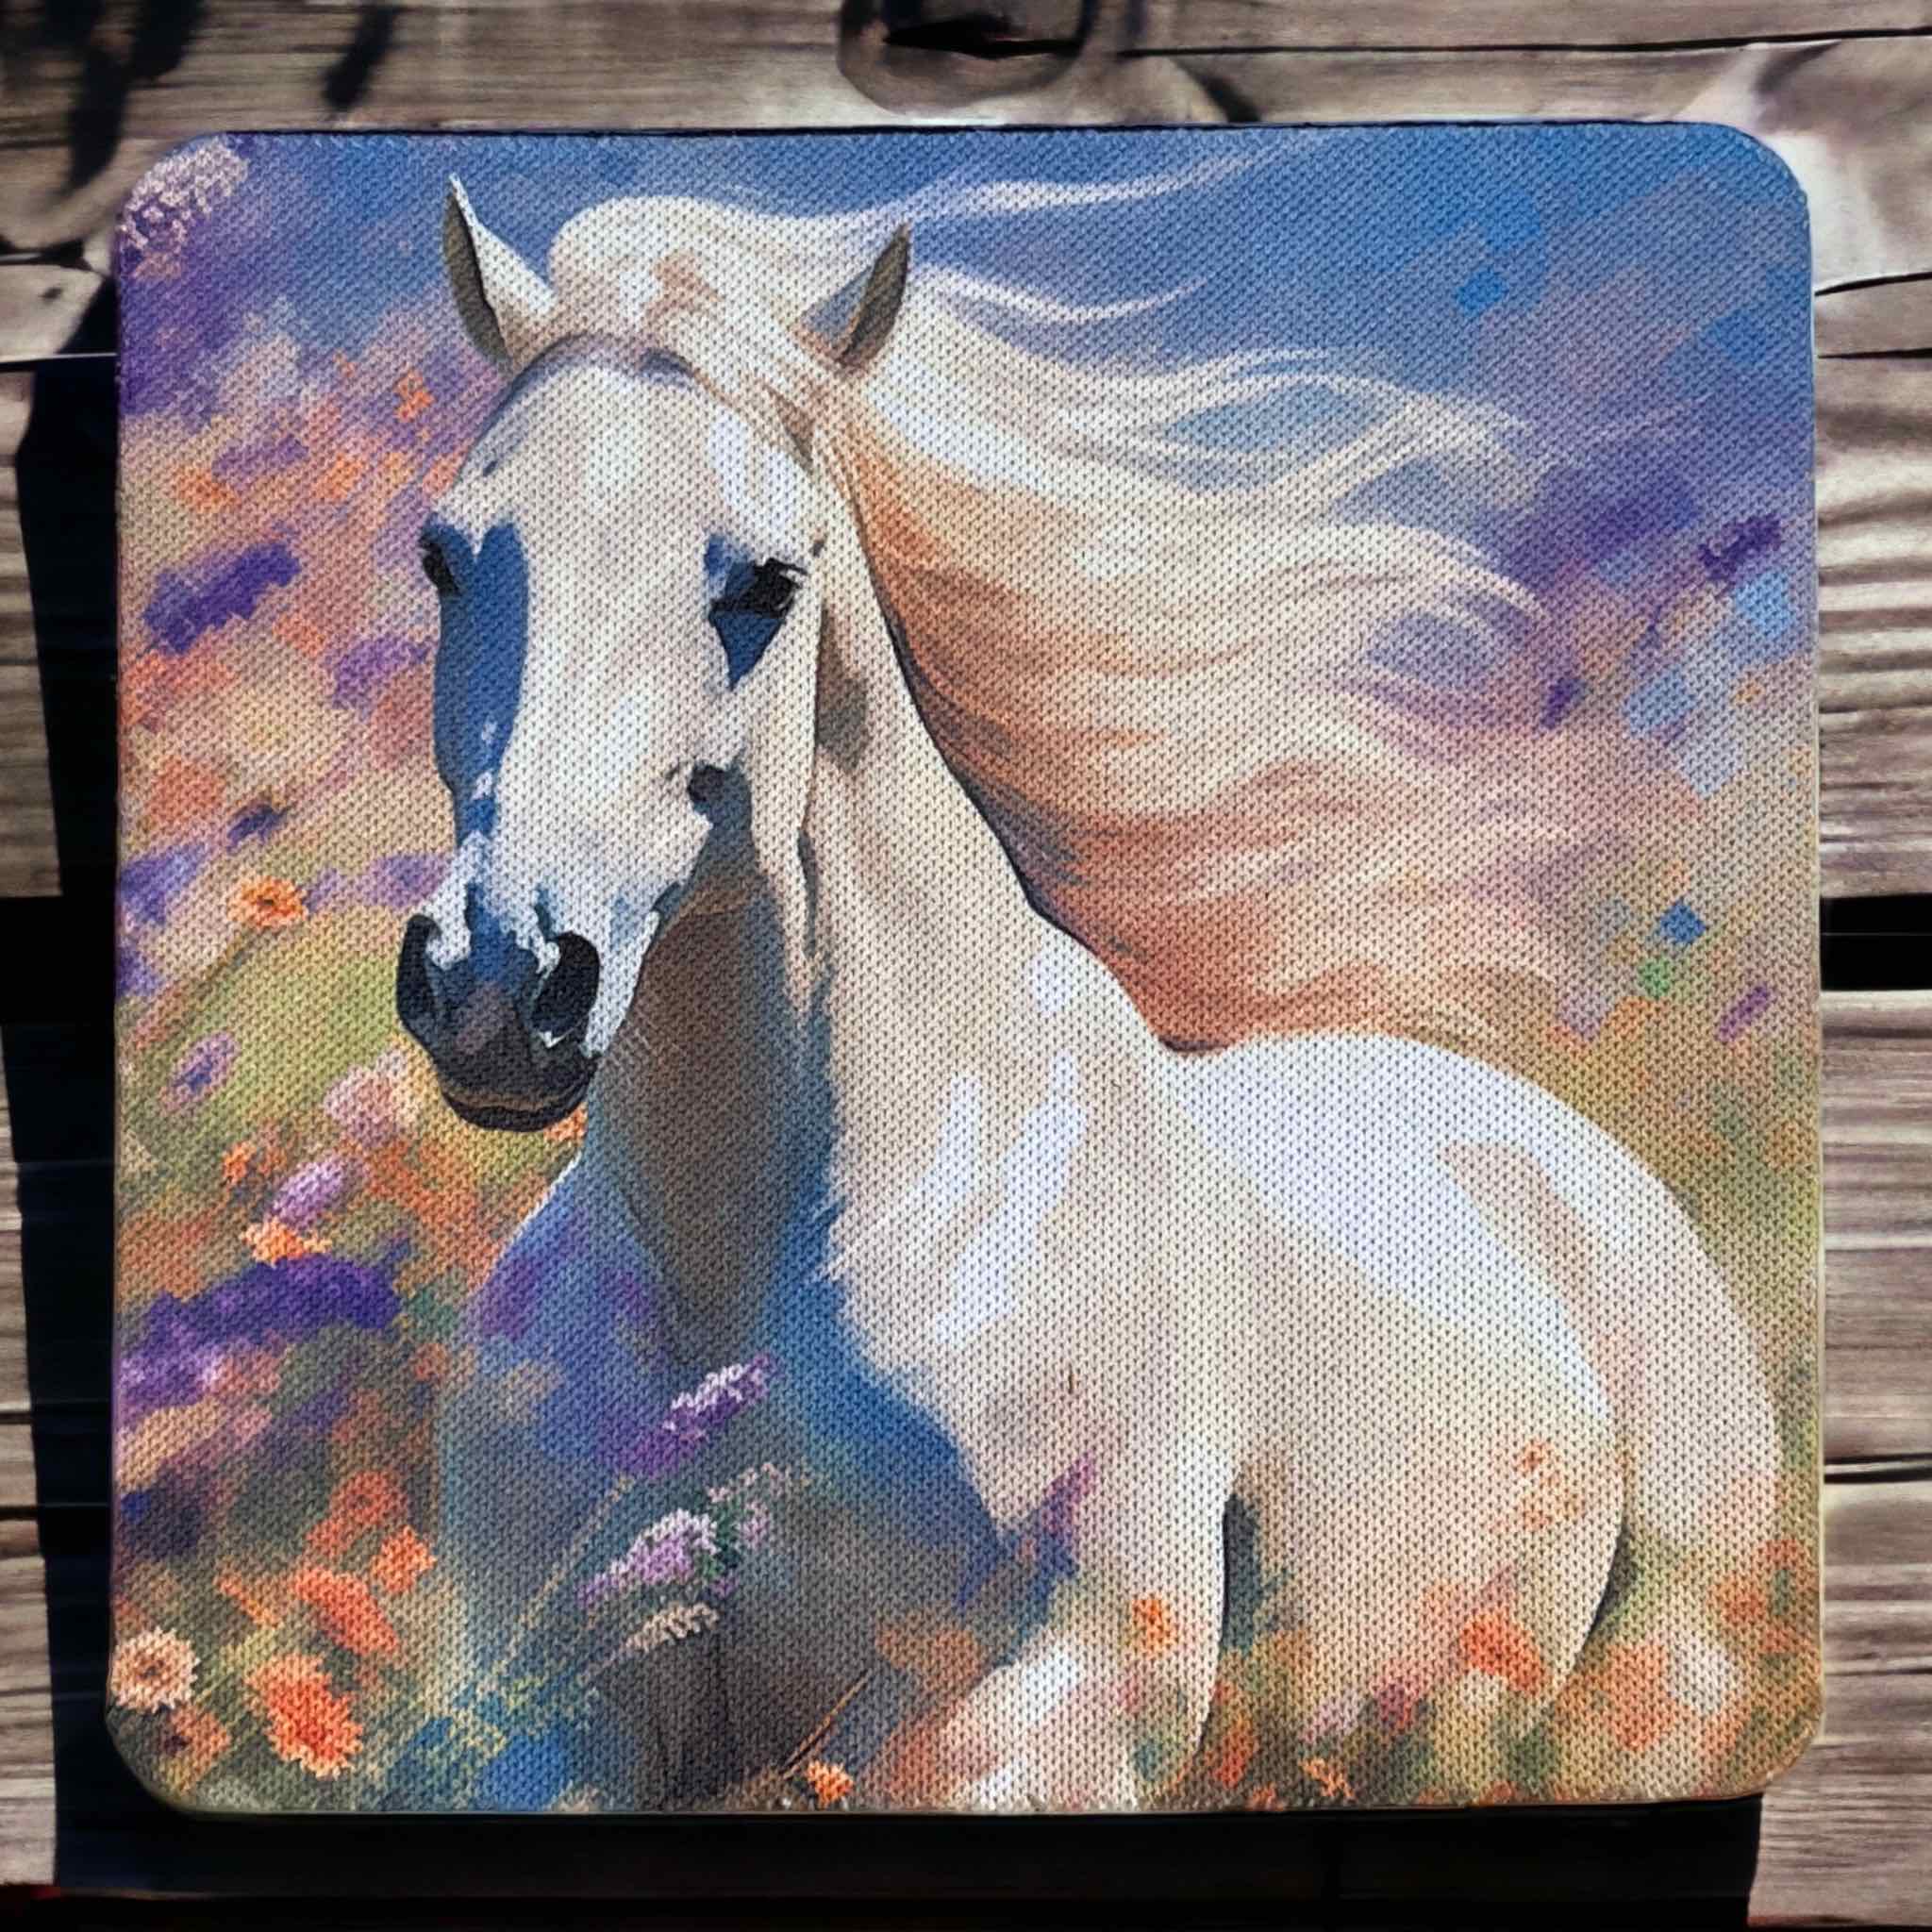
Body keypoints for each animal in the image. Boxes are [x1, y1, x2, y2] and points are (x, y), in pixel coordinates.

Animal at [396, 176, 1782, 1812]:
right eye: (446, 555)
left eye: (767, 581)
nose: (501, 975)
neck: (741, 1277)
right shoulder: (547, 1728)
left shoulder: (1021, 1723)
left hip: (1651, 1701)